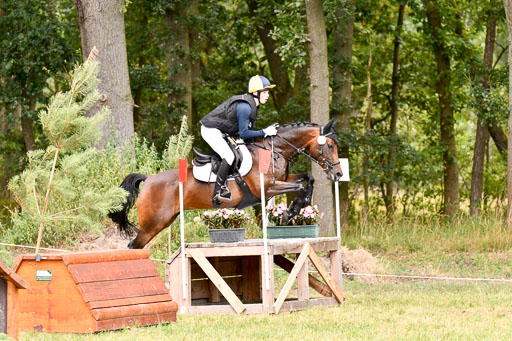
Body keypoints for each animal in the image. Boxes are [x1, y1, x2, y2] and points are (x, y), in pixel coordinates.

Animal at [110, 118, 344, 248]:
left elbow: (308, 179)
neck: (273, 150)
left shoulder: (282, 180)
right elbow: (300, 186)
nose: (339, 174)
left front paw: (295, 210)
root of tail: (149, 179)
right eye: (330, 145)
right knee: (133, 247)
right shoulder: (266, 188)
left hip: (164, 221)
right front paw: (290, 212)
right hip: (152, 224)